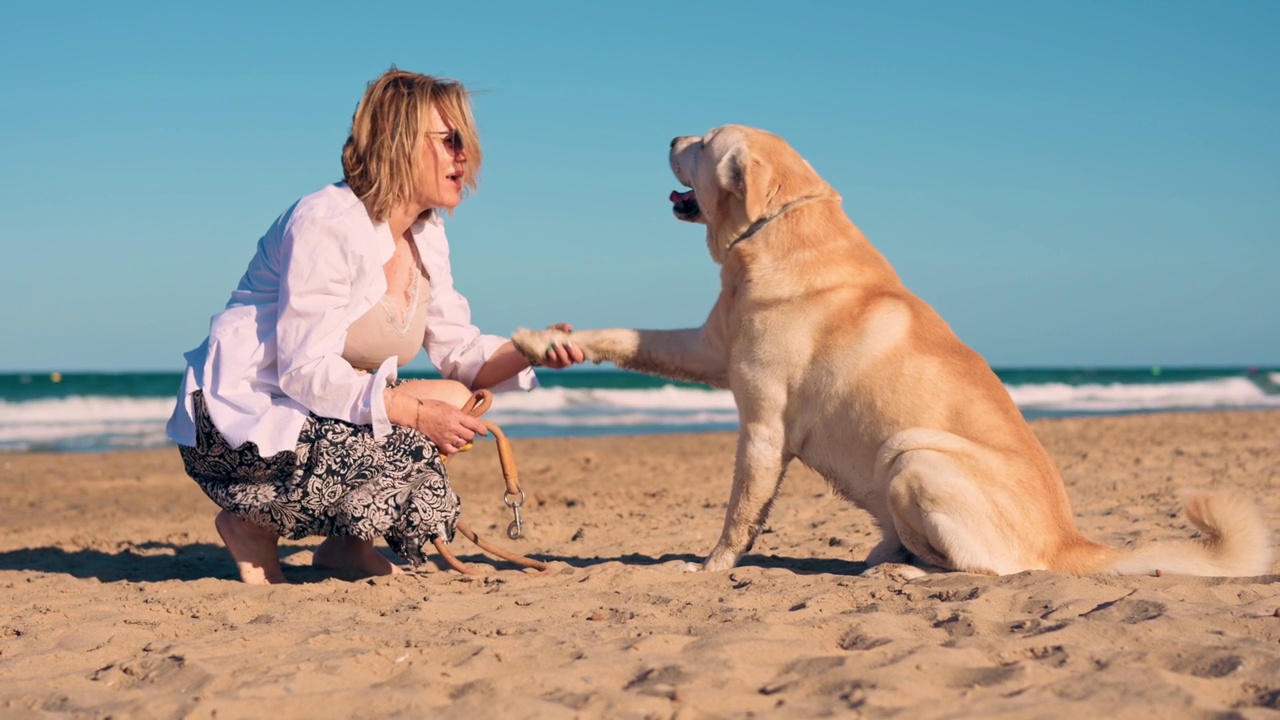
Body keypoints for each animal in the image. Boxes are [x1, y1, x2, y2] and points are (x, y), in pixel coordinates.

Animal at [509, 124, 1269, 576]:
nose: (671, 133)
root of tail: (1069, 540)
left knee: (993, 572)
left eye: (701, 145)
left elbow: (740, 510)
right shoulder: (707, 348)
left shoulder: (762, 425)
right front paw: (544, 340)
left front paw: (713, 567)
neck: (775, 235)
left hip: (914, 456)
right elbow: (622, 336)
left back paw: (907, 568)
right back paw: (884, 554)